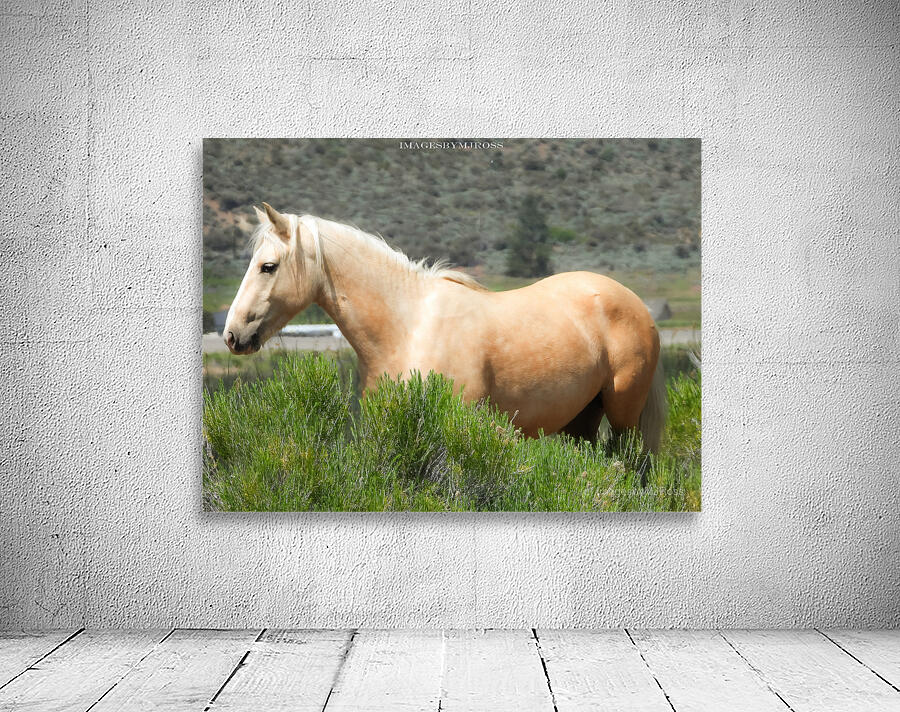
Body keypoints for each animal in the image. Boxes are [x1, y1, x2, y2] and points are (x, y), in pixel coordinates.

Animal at [223, 203, 666, 451]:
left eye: (268, 266)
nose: (232, 335)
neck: (408, 328)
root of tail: (636, 304)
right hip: (582, 419)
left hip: (623, 415)